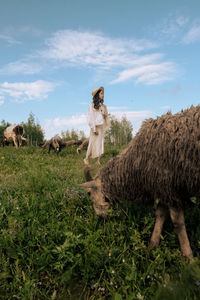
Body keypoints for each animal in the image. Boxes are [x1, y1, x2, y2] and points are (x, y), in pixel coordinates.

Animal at [80, 105, 200, 260]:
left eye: (89, 194)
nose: (101, 218)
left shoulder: (169, 187)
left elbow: (177, 222)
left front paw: (188, 256)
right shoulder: (162, 188)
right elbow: (160, 214)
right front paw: (152, 246)